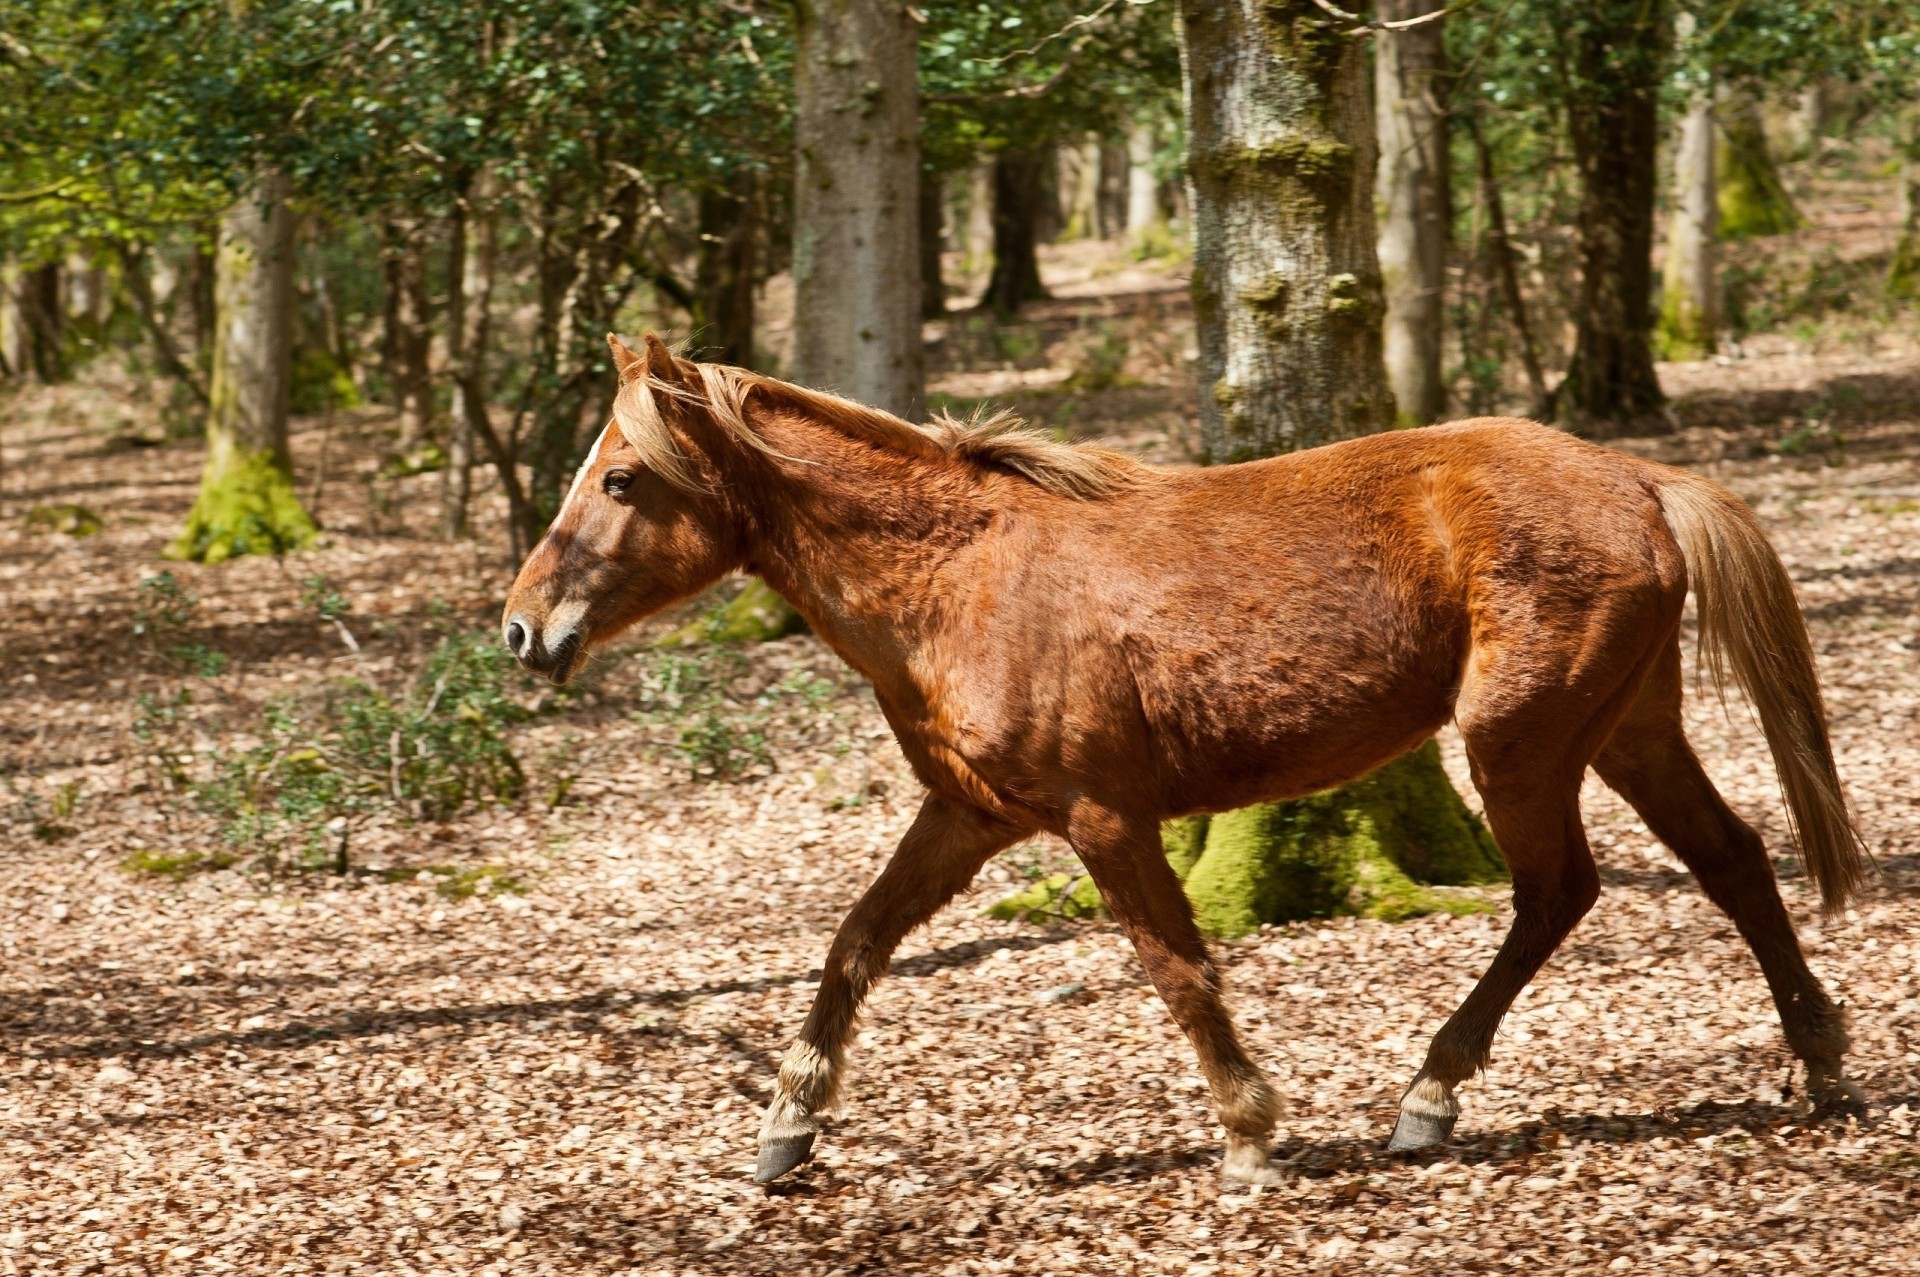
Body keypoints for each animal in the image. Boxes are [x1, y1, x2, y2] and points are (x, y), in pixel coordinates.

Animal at [502, 333, 1868, 1186]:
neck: (959, 578)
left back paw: (1428, 1099)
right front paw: (786, 1129)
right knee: (1732, 859)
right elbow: (856, 941)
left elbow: (1175, 967)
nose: (521, 629)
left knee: (1559, 890)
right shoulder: (967, 815)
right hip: (1629, 727)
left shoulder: (1105, 817)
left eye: (619, 476)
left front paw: (1251, 1134)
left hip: (1519, 741)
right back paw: (1821, 1062)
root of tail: (1642, 480)